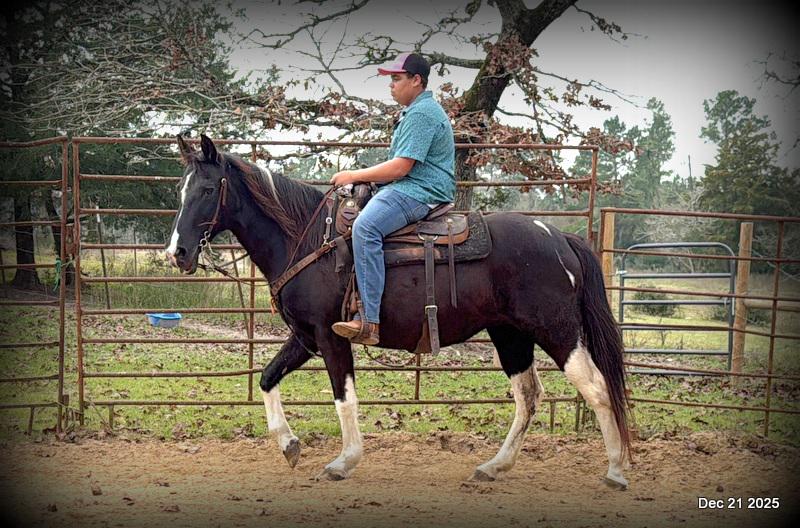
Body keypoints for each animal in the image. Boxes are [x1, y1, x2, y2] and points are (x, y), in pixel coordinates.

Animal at [166, 134, 632, 488]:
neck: (306, 239)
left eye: (207, 190)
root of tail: (559, 237)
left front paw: (344, 461)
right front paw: (289, 444)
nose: (178, 253)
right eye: (181, 190)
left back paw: (615, 471)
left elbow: (344, 399)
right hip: (510, 335)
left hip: (558, 330)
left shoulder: (332, 336)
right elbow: (267, 378)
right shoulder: (305, 337)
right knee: (529, 396)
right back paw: (493, 466)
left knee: (596, 389)